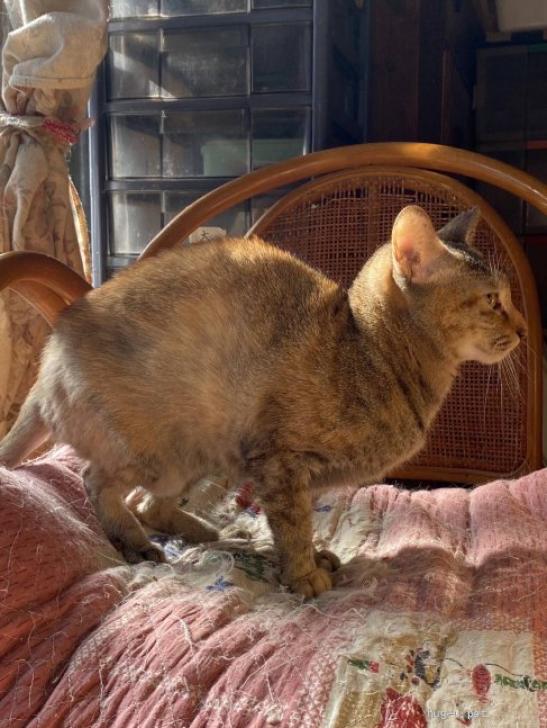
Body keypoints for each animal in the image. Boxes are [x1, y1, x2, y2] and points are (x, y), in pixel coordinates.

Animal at [0, 205, 526, 597]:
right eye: (493, 300)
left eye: (507, 297)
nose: (523, 329)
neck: (370, 350)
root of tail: (49, 359)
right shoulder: (282, 464)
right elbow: (292, 525)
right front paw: (304, 575)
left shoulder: (301, 476)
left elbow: (304, 524)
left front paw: (316, 557)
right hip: (156, 451)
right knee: (98, 484)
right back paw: (138, 543)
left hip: (197, 457)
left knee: (146, 505)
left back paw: (215, 534)